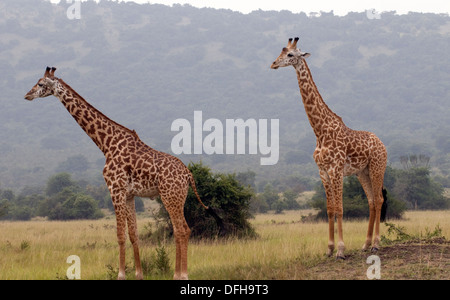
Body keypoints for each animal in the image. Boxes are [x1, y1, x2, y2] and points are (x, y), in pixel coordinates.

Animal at [24, 67, 221, 280]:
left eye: (41, 84)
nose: (27, 95)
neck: (106, 144)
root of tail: (188, 175)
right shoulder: (129, 194)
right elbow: (133, 233)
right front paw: (139, 273)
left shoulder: (115, 189)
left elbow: (119, 234)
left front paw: (120, 274)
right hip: (178, 197)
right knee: (178, 230)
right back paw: (176, 274)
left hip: (171, 196)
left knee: (183, 229)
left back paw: (183, 275)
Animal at [270, 37, 386, 258]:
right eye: (280, 51)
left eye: (290, 54)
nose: (273, 64)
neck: (320, 131)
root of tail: (382, 143)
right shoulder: (322, 171)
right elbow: (330, 209)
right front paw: (329, 249)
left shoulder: (336, 169)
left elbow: (340, 208)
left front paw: (341, 249)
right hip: (363, 172)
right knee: (371, 201)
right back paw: (365, 244)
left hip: (377, 168)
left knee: (379, 199)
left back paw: (376, 244)